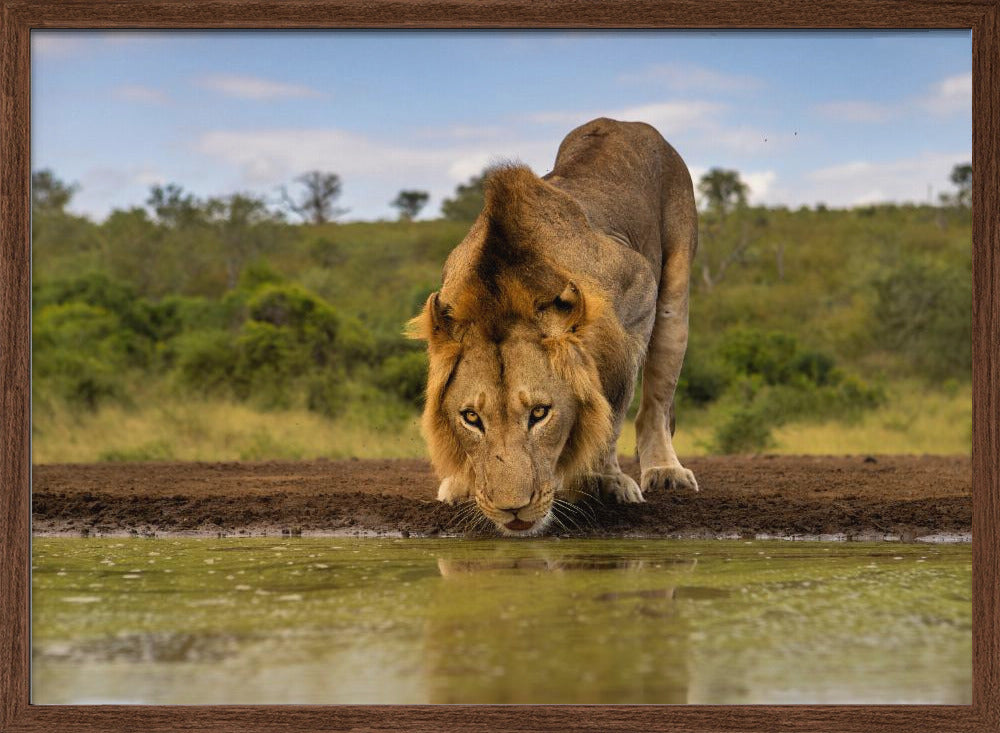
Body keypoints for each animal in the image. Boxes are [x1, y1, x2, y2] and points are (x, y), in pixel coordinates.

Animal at [409, 117, 698, 536]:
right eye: (471, 418)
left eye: (540, 413)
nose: (512, 510)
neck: (504, 290)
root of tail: (624, 122)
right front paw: (461, 483)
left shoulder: (639, 292)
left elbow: (612, 410)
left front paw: (604, 480)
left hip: (675, 292)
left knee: (655, 403)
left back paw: (664, 470)